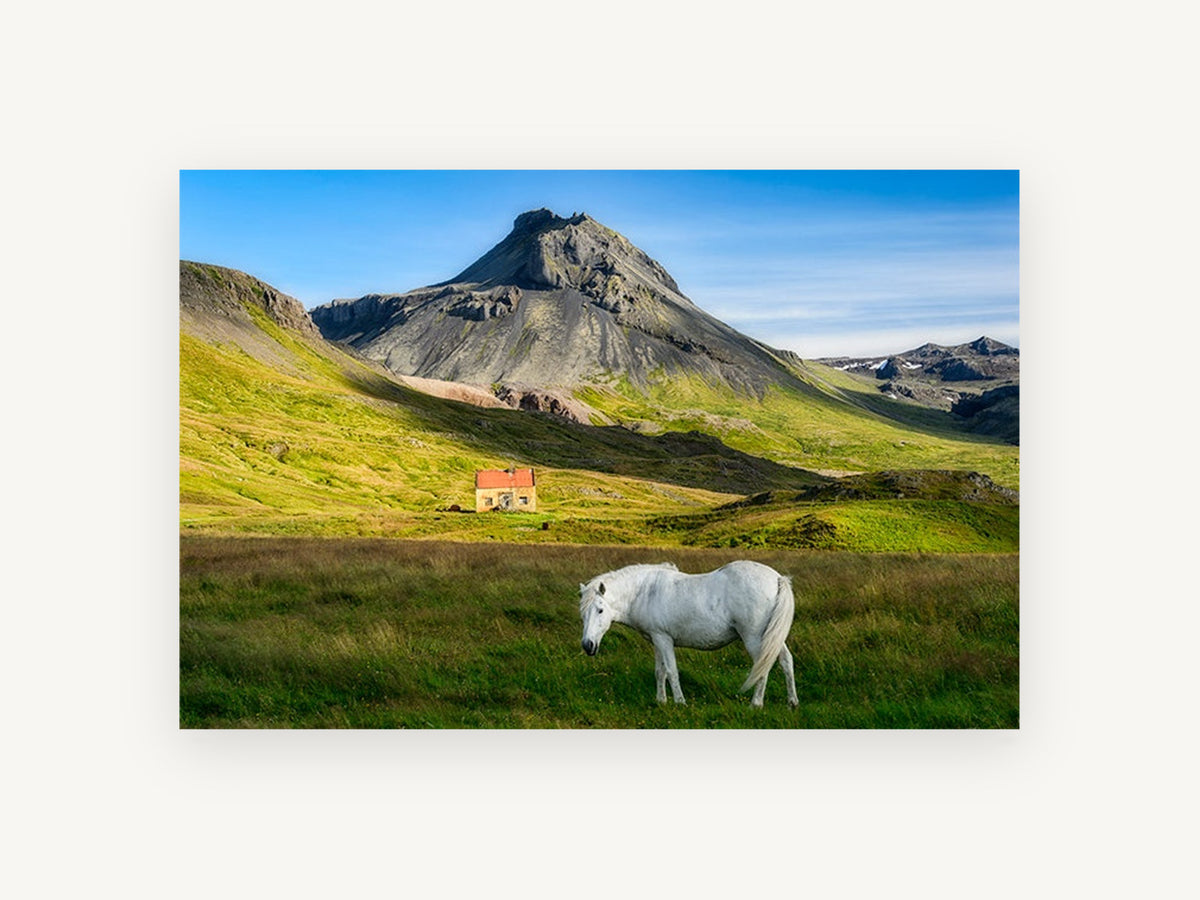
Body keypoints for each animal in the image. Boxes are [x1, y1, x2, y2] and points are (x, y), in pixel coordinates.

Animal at [579, 561, 798, 707]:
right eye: (583, 614)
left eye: (600, 610)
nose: (588, 645)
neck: (644, 591)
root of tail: (777, 578)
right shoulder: (656, 640)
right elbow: (660, 672)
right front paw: (661, 701)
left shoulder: (664, 639)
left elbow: (671, 671)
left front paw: (680, 702)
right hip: (772, 637)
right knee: (786, 660)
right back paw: (792, 703)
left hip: (755, 638)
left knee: (763, 666)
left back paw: (756, 704)